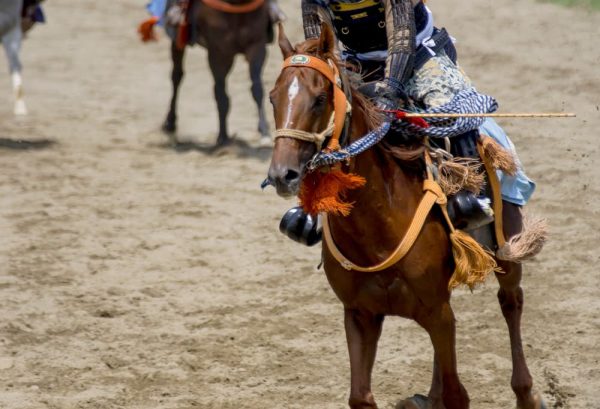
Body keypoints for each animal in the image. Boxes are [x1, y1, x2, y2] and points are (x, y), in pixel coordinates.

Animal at [162, 0, 270, 145]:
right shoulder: (217, 52)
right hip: (178, 40)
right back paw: (170, 122)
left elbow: (257, 89)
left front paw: (265, 131)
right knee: (177, 76)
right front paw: (223, 137)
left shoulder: (257, 45)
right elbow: (221, 95)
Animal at [264, 24, 548, 408]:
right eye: (273, 98)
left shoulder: (437, 311)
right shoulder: (360, 313)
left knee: (511, 302)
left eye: (320, 98)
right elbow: (361, 396)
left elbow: (458, 394)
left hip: (507, 251)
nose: (283, 174)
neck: (378, 227)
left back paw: (526, 393)